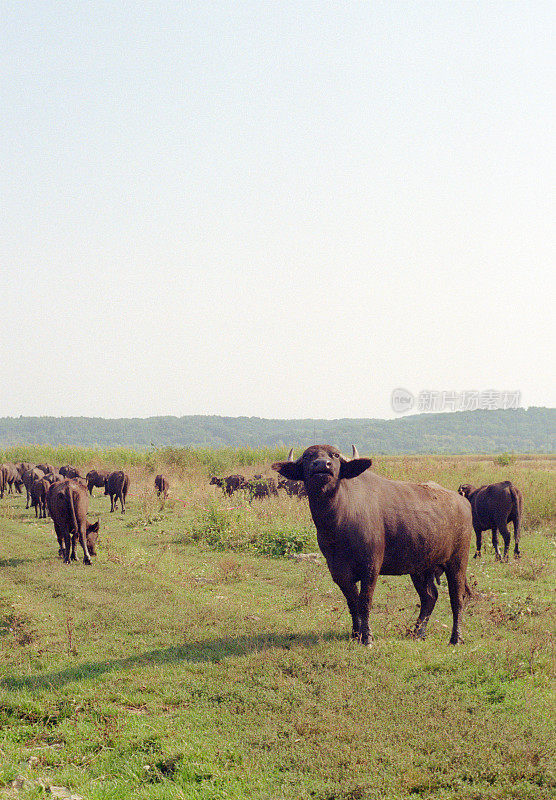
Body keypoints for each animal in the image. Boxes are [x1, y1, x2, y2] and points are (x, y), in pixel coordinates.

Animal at [272, 446, 472, 648]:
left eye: (334, 455)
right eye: (307, 456)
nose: (322, 464)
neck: (338, 521)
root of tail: (463, 502)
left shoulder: (371, 566)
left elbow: (365, 601)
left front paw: (367, 636)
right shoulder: (338, 570)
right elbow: (352, 602)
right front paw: (355, 634)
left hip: (457, 562)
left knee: (457, 599)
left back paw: (456, 638)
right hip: (420, 568)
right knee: (429, 597)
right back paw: (417, 632)